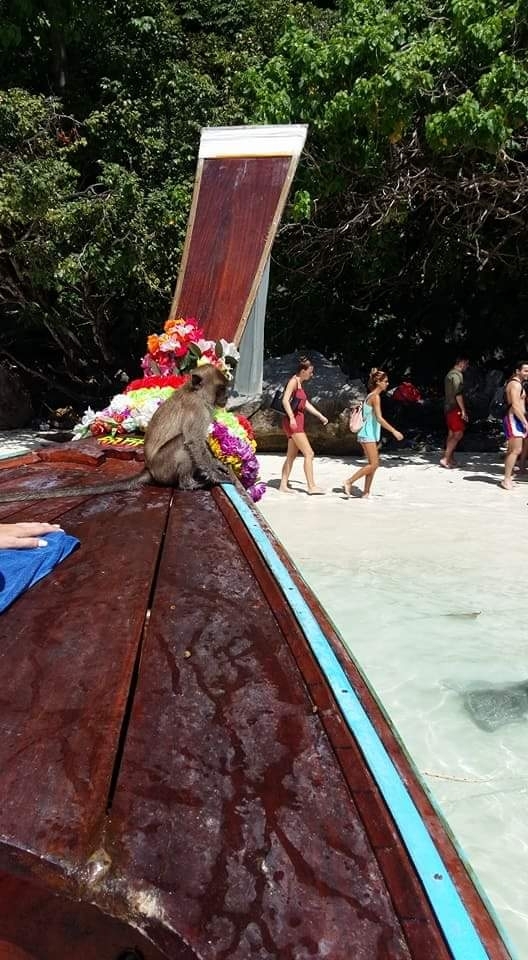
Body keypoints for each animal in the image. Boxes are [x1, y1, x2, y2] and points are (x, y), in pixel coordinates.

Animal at [0, 365, 234, 503]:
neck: (195, 393)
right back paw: (188, 484)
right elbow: (193, 442)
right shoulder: (198, 409)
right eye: (221, 389)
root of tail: (149, 469)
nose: (225, 399)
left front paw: (218, 464)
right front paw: (216, 474)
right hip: (164, 468)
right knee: (181, 443)